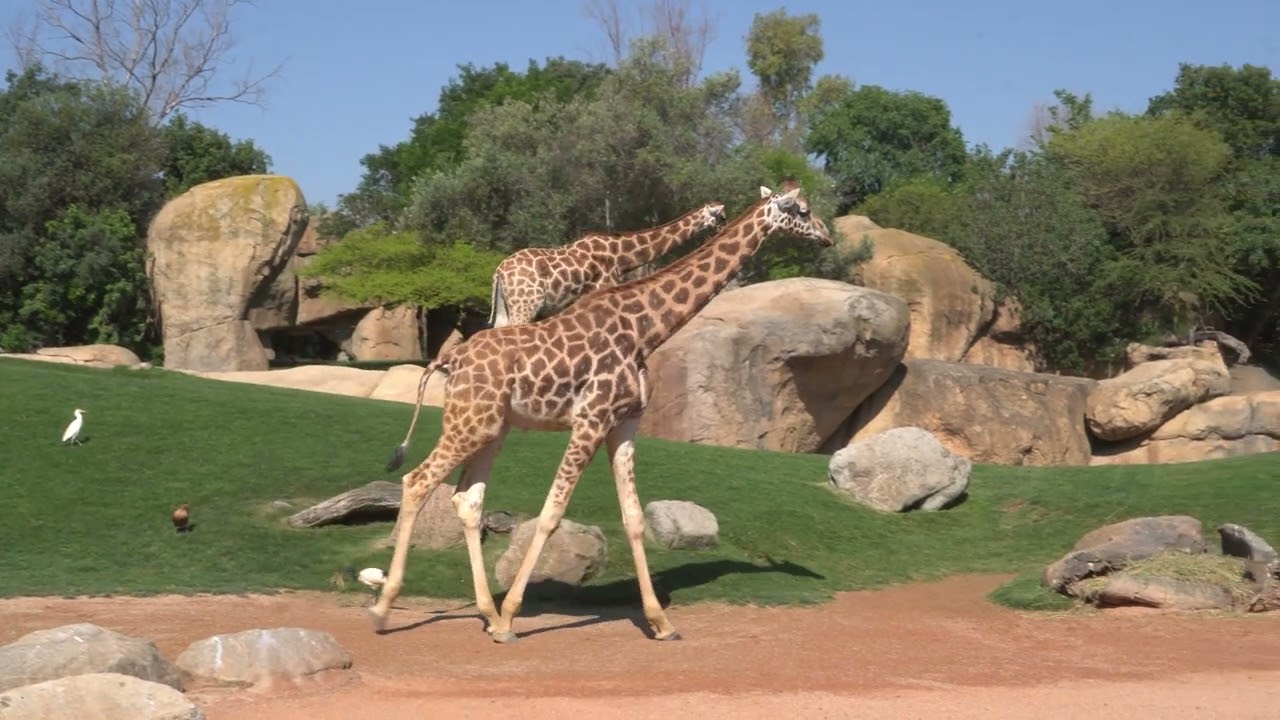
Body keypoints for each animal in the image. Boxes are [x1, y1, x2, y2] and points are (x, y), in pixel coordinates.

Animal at [487, 201, 727, 328]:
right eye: (722, 216)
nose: (724, 228)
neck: (622, 256)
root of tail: (499, 272)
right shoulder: (603, 289)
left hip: (506, 306)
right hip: (526, 304)